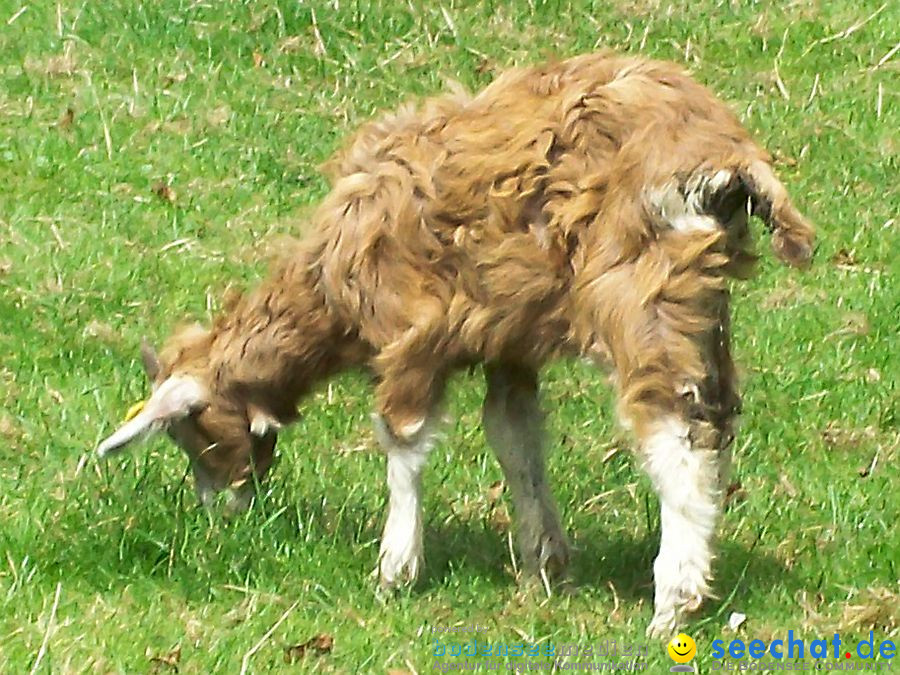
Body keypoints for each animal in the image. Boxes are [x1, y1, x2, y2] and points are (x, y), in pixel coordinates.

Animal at [96, 50, 816, 636]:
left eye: (193, 433)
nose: (223, 510)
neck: (330, 279)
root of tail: (724, 154)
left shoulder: (412, 333)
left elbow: (402, 441)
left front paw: (395, 569)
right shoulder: (509, 344)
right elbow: (515, 438)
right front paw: (543, 565)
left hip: (638, 295)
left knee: (677, 431)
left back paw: (673, 602)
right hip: (701, 301)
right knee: (718, 419)